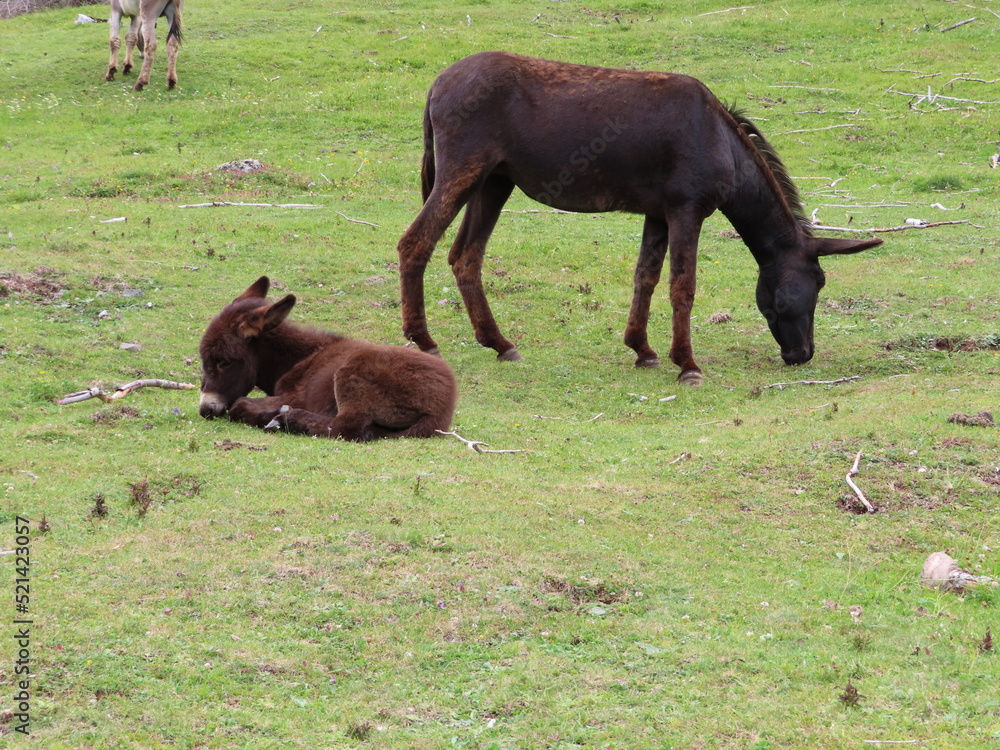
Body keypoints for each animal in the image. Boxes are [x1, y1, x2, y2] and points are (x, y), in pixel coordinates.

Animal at [199, 278, 458, 444]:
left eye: (224, 362)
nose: (205, 410)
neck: (298, 357)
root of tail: (442, 409)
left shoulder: (294, 395)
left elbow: (239, 404)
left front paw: (270, 413)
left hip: (352, 372)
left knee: (347, 427)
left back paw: (287, 419)